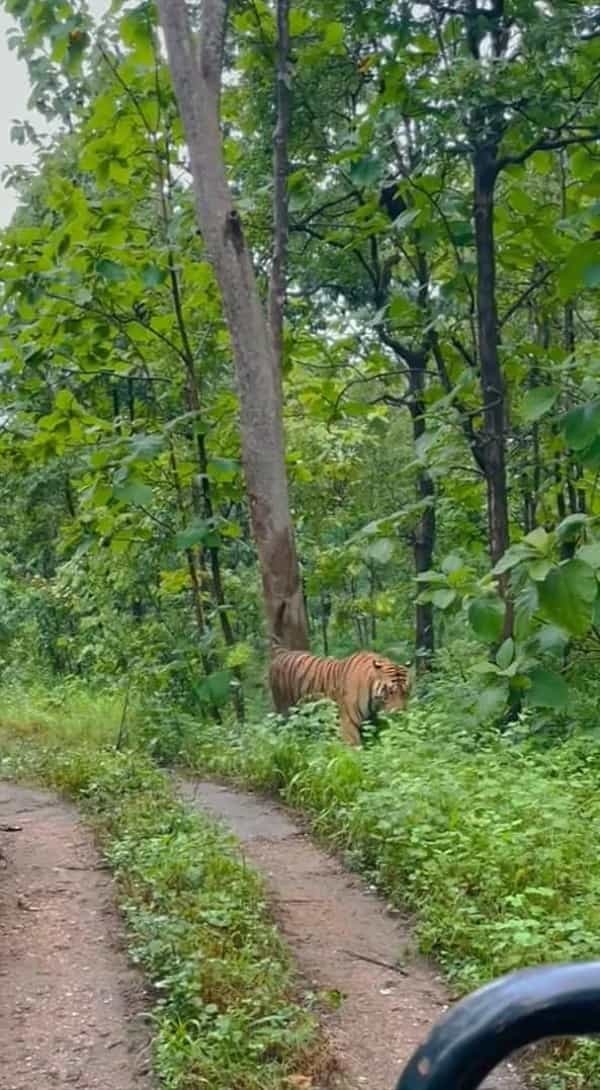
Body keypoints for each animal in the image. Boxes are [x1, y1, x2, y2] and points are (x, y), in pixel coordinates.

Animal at [269, 640, 414, 745]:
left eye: (406, 692)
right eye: (390, 692)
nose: (399, 714)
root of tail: (281, 653)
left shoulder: (372, 723)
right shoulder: (348, 724)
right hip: (285, 710)